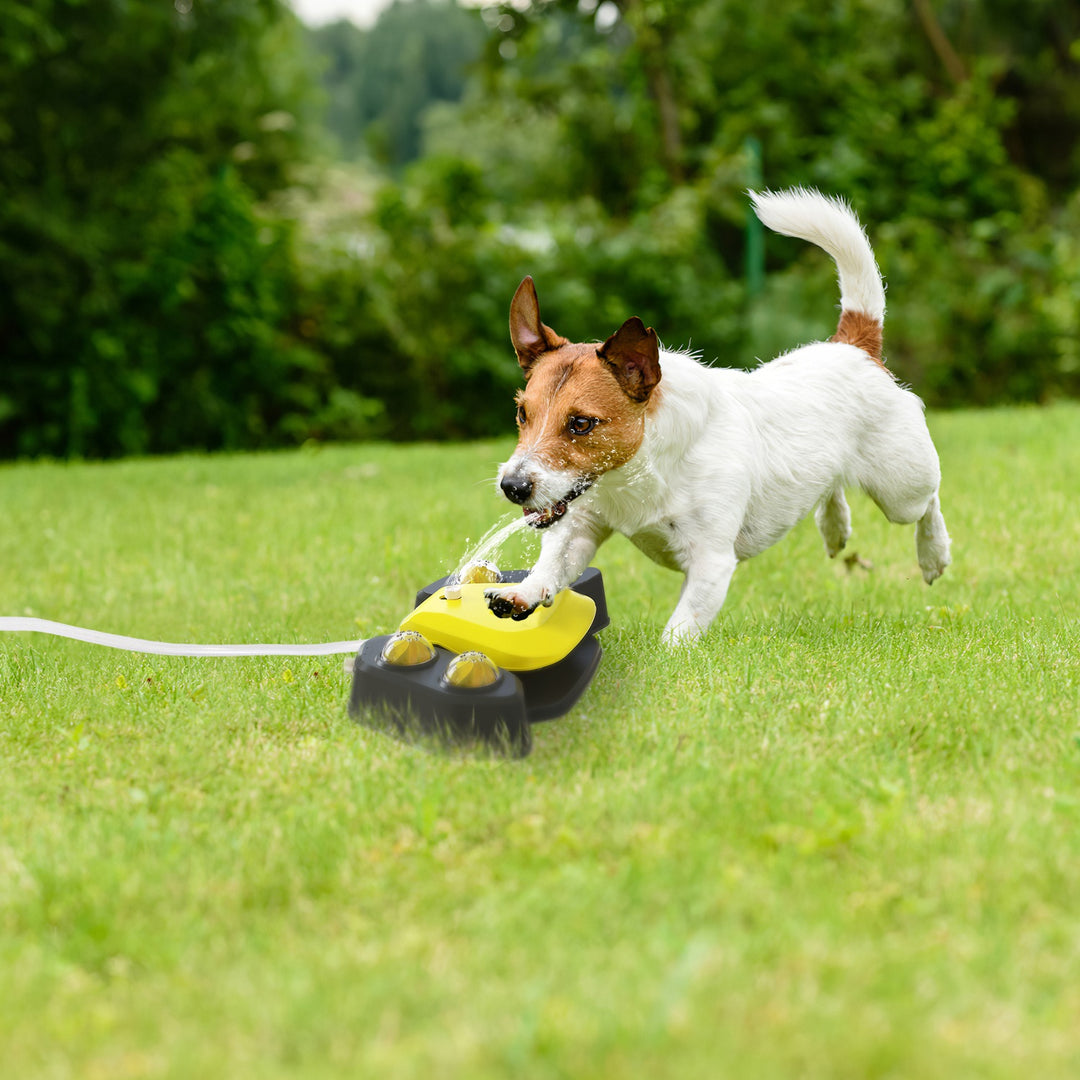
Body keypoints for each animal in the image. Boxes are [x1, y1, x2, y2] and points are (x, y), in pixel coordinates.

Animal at [486, 186, 950, 643]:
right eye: (522, 413)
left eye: (581, 423)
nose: (512, 486)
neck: (638, 474)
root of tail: (853, 346)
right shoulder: (580, 524)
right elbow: (553, 563)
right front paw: (522, 593)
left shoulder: (710, 561)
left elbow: (679, 630)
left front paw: (666, 657)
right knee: (831, 487)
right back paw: (835, 528)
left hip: (901, 486)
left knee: (929, 501)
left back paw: (933, 553)